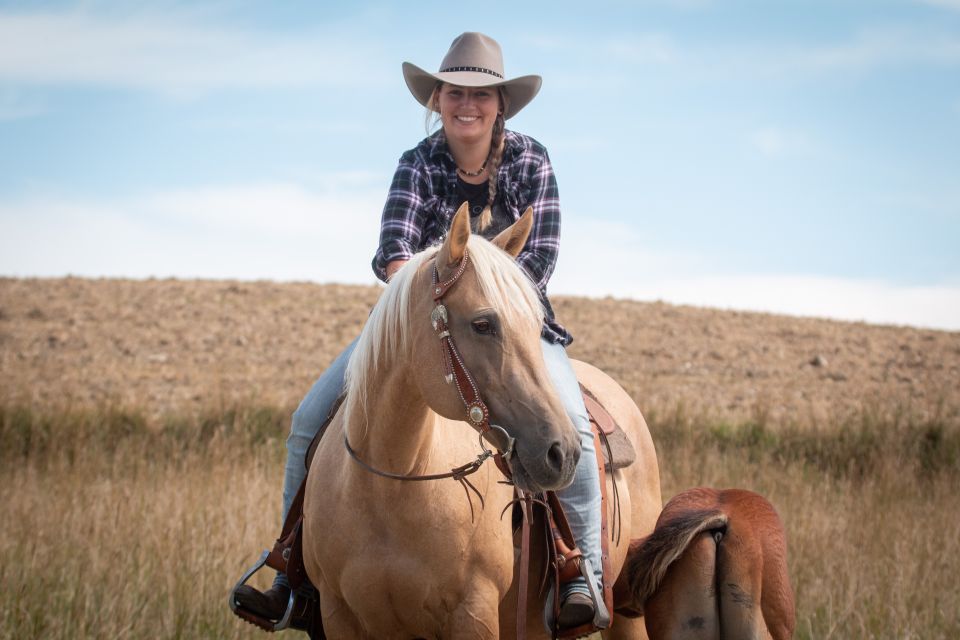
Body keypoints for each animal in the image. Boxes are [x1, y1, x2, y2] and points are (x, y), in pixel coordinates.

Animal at [300, 206, 660, 640]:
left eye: (536, 325)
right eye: (483, 324)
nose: (563, 453)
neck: (391, 486)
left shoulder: (473, 613)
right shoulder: (339, 614)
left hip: (626, 614)